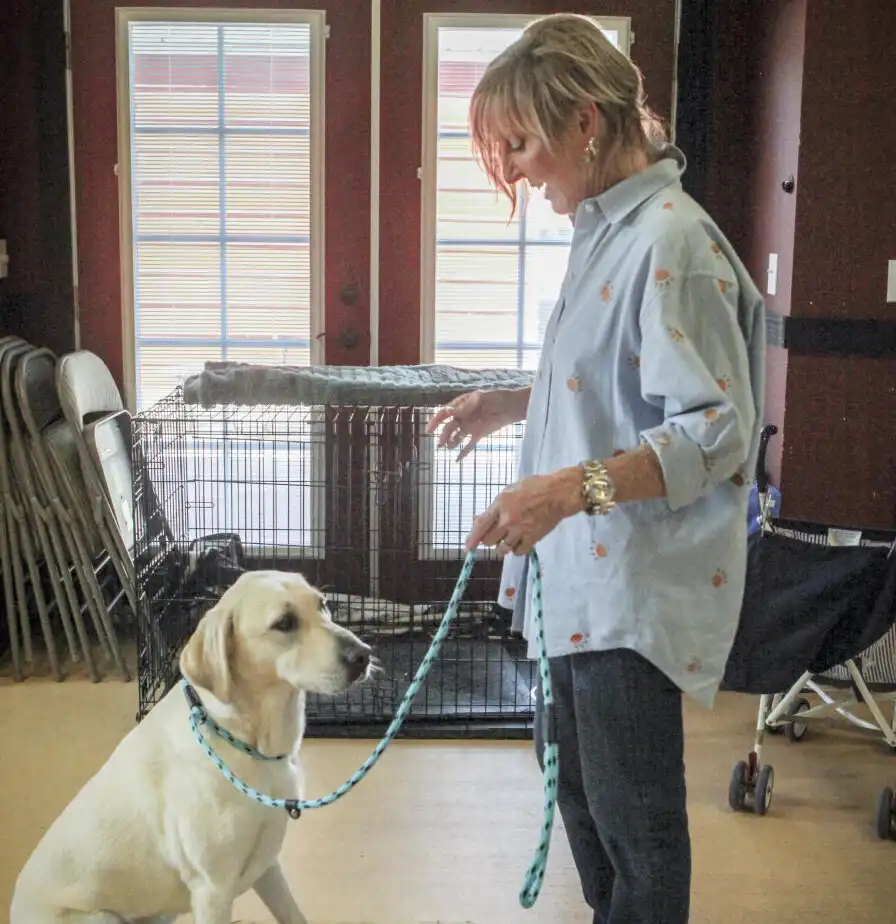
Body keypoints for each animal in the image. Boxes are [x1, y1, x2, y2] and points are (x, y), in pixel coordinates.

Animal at [9, 572, 372, 924]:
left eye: (323, 604)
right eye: (284, 623)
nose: (364, 655)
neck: (246, 740)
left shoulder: (266, 866)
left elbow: (293, 914)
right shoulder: (213, 889)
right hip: (102, 918)